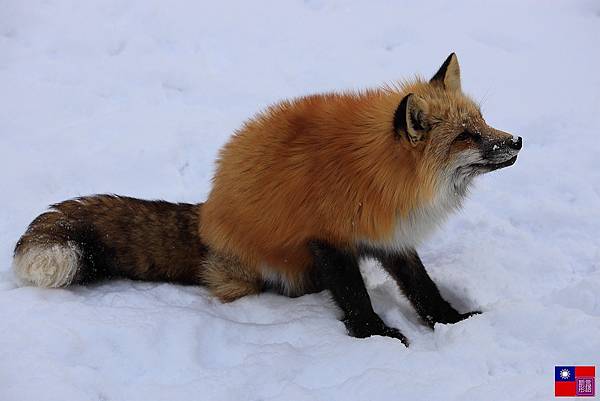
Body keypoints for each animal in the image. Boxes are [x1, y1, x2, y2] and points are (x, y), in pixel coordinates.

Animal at [12, 54, 520, 344]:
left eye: (482, 120)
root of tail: (206, 215)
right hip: (265, 272)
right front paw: (375, 335)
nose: (516, 140)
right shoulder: (327, 238)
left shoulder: (390, 235)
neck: (381, 174)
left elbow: (423, 287)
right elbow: (354, 295)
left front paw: (452, 322)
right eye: (467, 136)